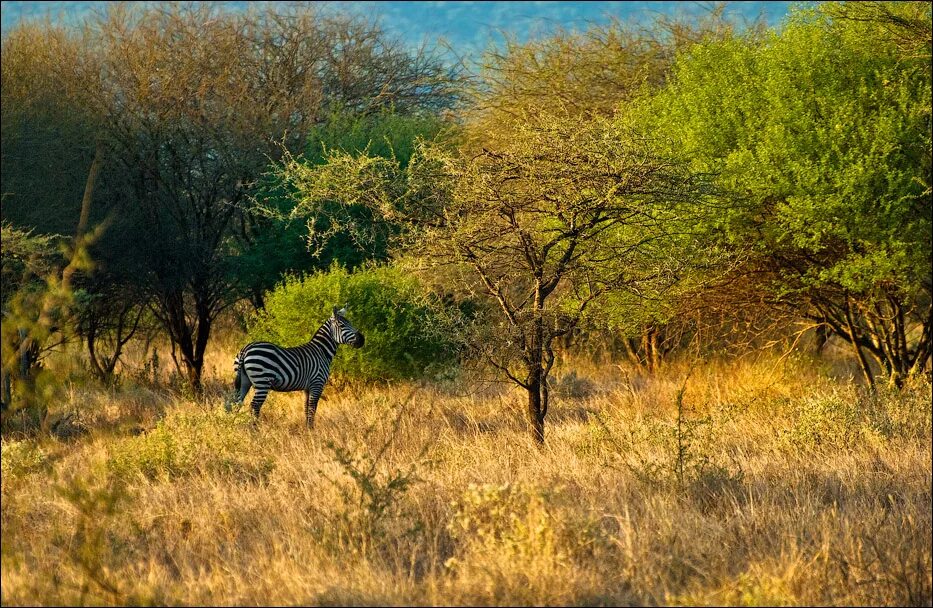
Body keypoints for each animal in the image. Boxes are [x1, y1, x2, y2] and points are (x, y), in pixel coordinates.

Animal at [231, 304, 366, 428]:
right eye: (342, 325)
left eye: (350, 323)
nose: (362, 339)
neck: (322, 351)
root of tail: (246, 349)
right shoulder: (317, 383)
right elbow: (312, 408)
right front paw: (311, 430)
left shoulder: (308, 387)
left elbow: (306, 408)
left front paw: (307, 429)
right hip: (262, 382)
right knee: (254, 405)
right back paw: (255, 429)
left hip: (245, 382)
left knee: (236, 403)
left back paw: (234, 427)